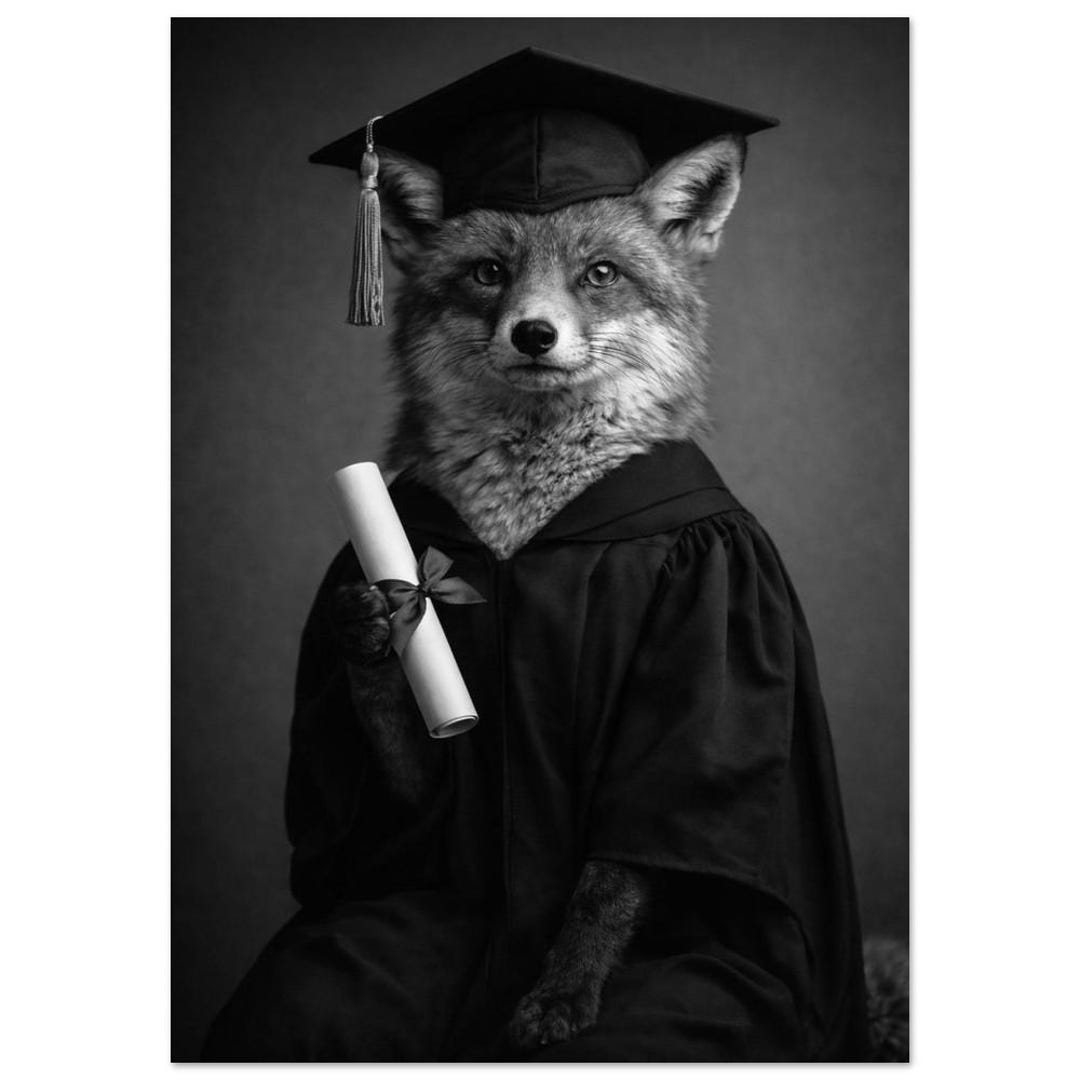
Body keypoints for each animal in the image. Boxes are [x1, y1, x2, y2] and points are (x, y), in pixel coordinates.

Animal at [333, 131, 747, 1052]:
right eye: (489, 272)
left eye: (600, 273)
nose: (533, 333)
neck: (523, 537)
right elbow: (406, 800)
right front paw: (381, 629)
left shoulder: (699, 636)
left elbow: (611, 883)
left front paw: (562, 995)